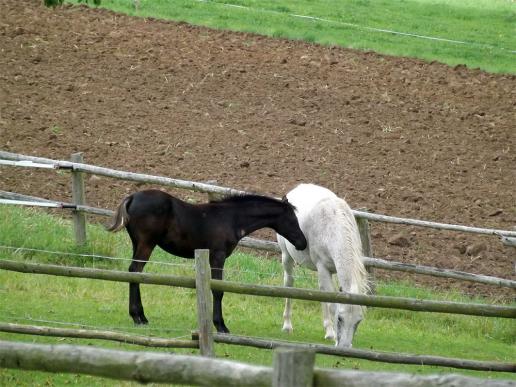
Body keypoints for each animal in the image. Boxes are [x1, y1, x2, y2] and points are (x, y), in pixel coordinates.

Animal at [106, 190, 306, 334]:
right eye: (292, 219)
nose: (303, 243)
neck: (231, 218)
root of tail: (132, 197)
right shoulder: (218, 256)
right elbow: (218, 290)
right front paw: (221, 326)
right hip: (146, 243)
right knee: (135, 271)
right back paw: (138, 317)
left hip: (138, 243)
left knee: (134, 272)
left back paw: (140, 316)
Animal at [276, 183, 368, 350]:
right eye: (340, 319)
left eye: (358, 321)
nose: (345, 347)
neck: (333, 226)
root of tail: (296, 189)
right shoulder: (323, 268)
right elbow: (332, 305)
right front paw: (333, 336)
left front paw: (330, 333)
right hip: (286, 257)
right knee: (289, 283)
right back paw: (287, 325)